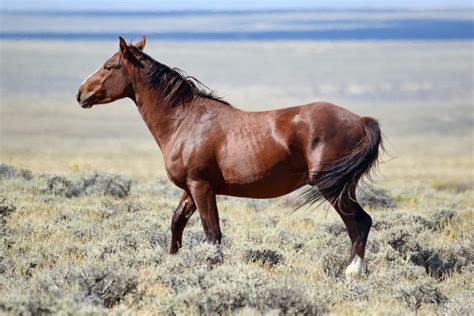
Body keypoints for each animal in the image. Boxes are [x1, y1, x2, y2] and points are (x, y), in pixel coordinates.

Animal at [77, 36, 382, 278]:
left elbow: (212, 233)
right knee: (361, 223)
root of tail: (360, 120)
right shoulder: (191, 189)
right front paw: (173, 261)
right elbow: (177, 222)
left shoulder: (201, 187)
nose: (81, 93)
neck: (186, 121)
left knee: (359, 223)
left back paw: (352, 272)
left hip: (333, 188)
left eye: (109, 66)